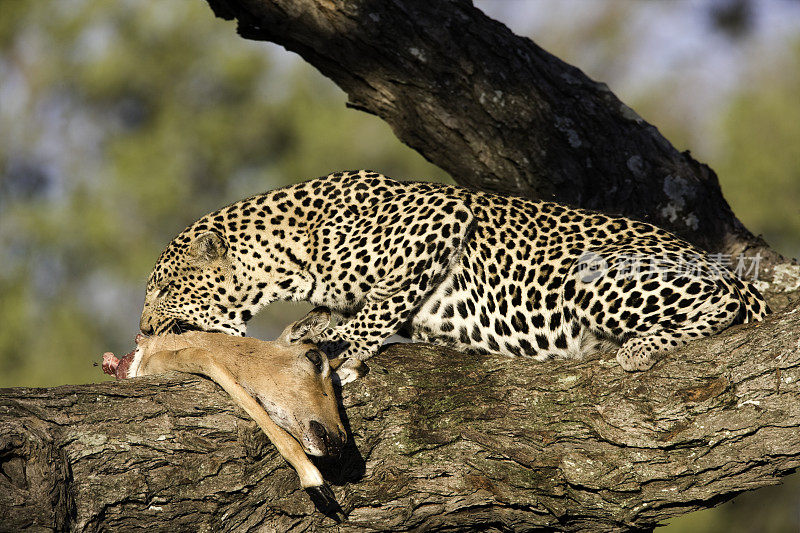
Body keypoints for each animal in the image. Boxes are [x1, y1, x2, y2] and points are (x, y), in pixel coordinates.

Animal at [141, 169, 772, 370]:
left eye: (163, 289)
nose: (144, 330)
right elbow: (325, 312)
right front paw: (308, 328)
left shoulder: (444, 214)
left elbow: (383, 303)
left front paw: (350, 343)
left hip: (597, 274)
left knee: (722, 304)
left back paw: (642, 346)